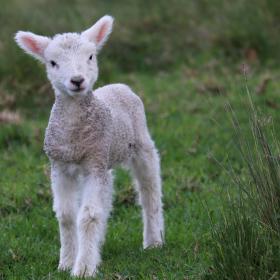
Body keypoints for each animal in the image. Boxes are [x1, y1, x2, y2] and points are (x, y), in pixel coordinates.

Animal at [14, 15, 164, 278]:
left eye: (91, 56)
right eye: (53, 62)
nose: (77, 80)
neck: (75, 137)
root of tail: (119, 85)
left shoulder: (94, 165)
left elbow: (88, 216)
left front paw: (83, 268)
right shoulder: (60, 166)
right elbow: (67, 215)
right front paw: (66, 262)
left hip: (140, 144)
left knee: (149, 190)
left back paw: (153, 241)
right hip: (105, 158)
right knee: (107, 196)